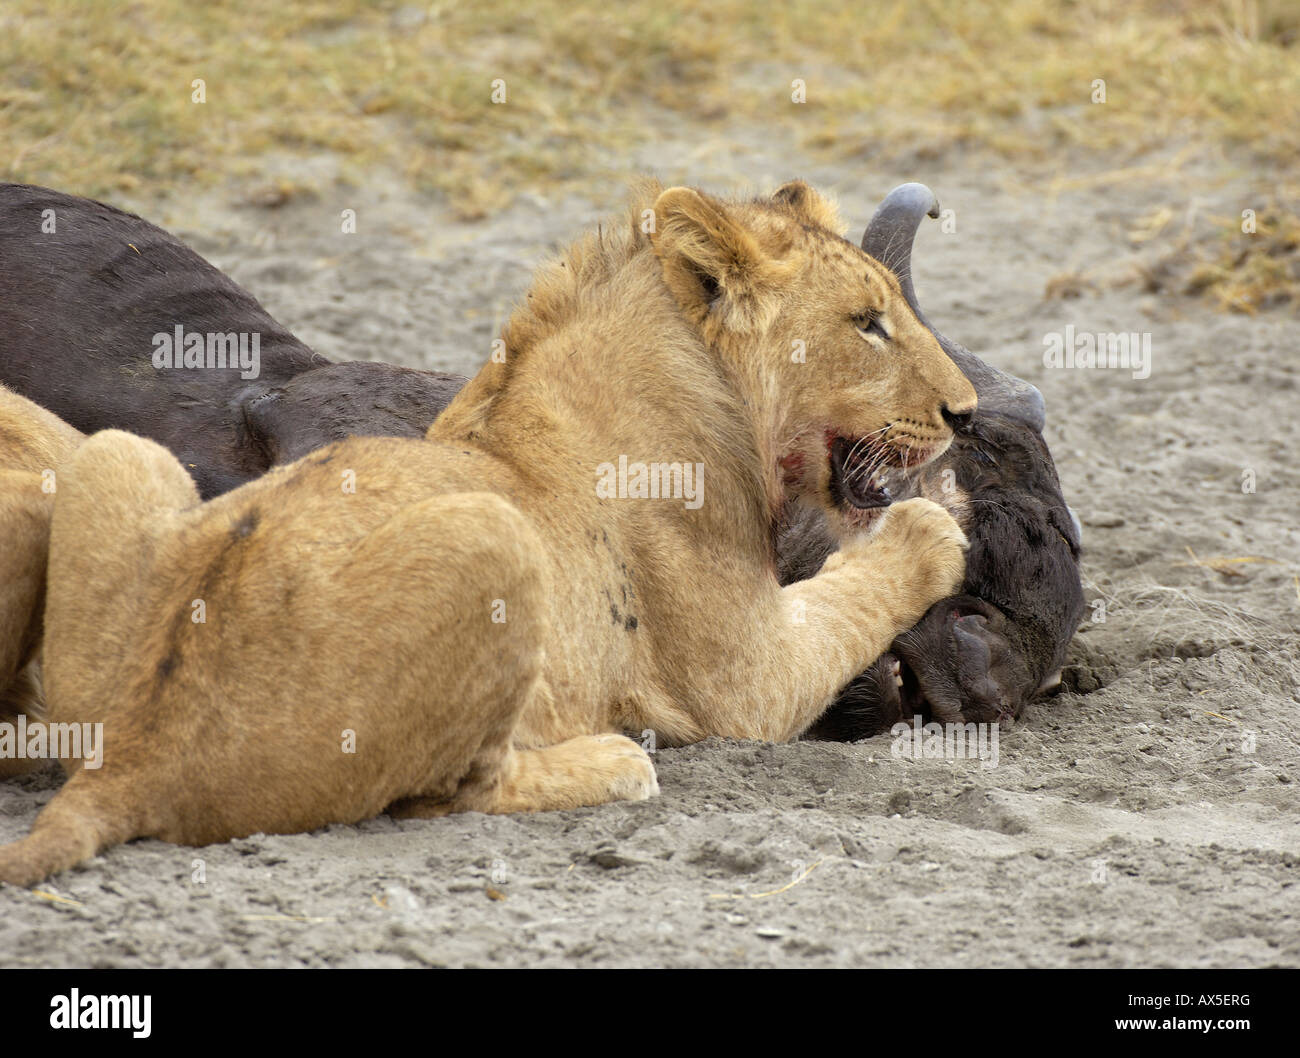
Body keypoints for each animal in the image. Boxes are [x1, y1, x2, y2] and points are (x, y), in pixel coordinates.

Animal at [0, 180, 976, 886]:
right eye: (868, 323)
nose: (963, 413)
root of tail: (132, 754)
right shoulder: (747, 683)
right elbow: (857, 589)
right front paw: (937, 522)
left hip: (116, 462)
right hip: (492, 537)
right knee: (450, 795)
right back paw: (616, 759)